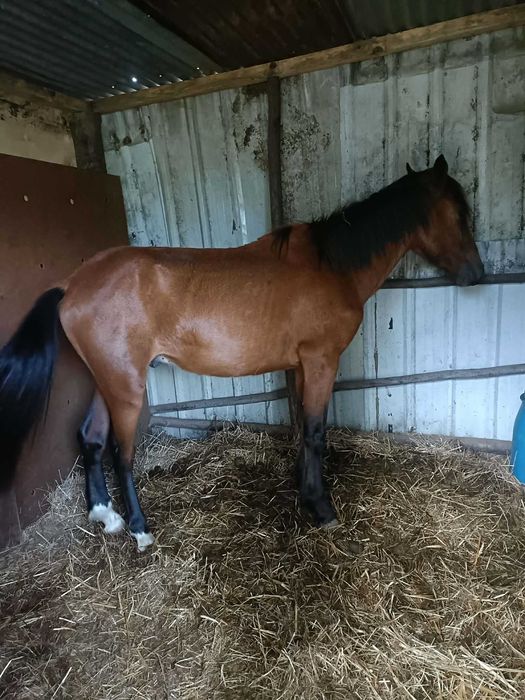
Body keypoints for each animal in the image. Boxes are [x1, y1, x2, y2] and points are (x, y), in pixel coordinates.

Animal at [0, 155, 484, 550]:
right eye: (460, 213)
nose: (476, 274)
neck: (331, 266)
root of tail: (72, 284)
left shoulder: (302, 365)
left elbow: (302, 427)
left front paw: (304, 491)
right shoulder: (322, 360)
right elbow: (315, 431)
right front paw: (322, 508)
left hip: (109, 380)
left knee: (91, 437)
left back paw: (107, 516)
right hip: (126, 388)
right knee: (121, 453)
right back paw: (139, 529)